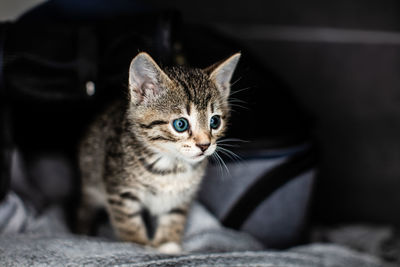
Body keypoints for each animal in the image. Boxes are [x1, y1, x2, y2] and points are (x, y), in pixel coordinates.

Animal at [78, 51, 241, 254]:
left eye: (215, 122)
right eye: (181, 124)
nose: (205, 145)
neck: (171, 166)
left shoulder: (182, 196)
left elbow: (174, 218)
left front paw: (168, 245)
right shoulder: (120, 190)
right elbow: (128, 222)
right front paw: (138, 245)